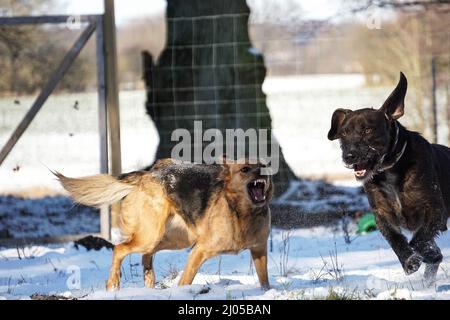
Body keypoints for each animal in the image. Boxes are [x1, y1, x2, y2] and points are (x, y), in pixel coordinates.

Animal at [56, 159, 274, 292]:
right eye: (245, 169)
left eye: (263, 164)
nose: (264, 170)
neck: (243, 212)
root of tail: (149, 172)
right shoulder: (200, 250)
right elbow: (186, 279)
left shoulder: (259, 250)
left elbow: (264, 280)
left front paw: (267, 292)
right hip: (151, 234)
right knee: (120, 248)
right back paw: (113, 283)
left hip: (175, 238)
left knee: (146, 255)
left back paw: (149, 283)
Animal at [326, 73, 450, 284]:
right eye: (344, 133)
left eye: (367, 130)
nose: (349, 156)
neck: (390, 169)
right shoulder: (382, 214)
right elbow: (395, 239)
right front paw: (410, 262)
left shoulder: (435, 210)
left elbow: (419, 239)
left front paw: (429, 254)